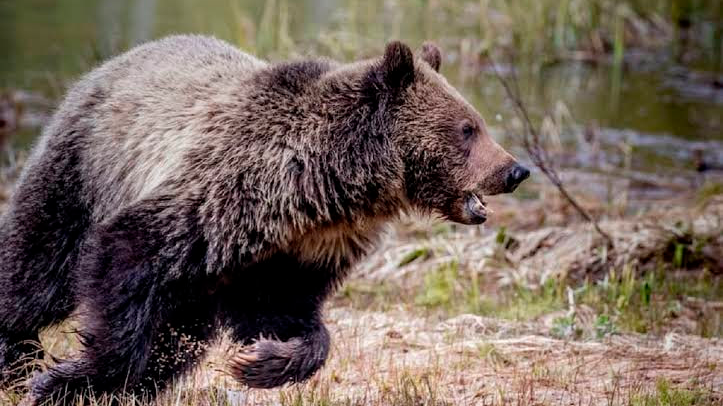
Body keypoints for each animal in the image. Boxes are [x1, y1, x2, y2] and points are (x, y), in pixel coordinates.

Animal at [0, 35, 529, 404]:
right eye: (467, 128)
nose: (515, 169)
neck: (325, 189)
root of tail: (111, 63)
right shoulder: (218, 196)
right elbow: (127, 257)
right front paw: (67, 380)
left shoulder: (293, 253)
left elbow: (286, 314)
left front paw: (262, 361)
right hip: (83, 168)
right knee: (37, 267)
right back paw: (17, 357)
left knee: (181, 333)